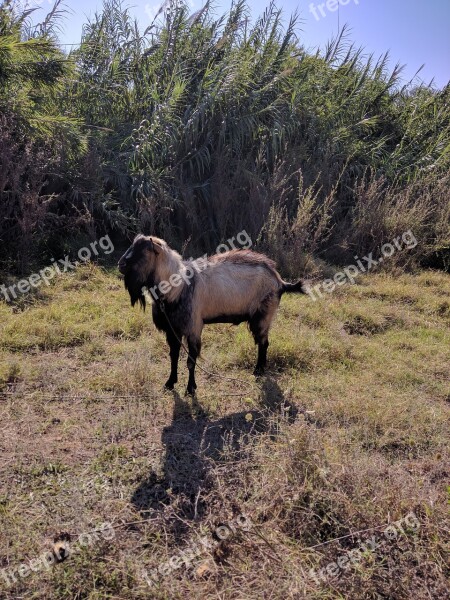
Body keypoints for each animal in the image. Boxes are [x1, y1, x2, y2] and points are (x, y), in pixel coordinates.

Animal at [118, 234, 306, 394]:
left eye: (143, 250)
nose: (121, 265)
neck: (177, 287)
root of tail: (280, 281)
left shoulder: (193, 327)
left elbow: (191, 361)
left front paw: (190, 389)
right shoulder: (173, 330)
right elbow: (173, 356)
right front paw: (170, 383)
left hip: (263, 316)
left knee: (264, 343)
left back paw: (258, 371)